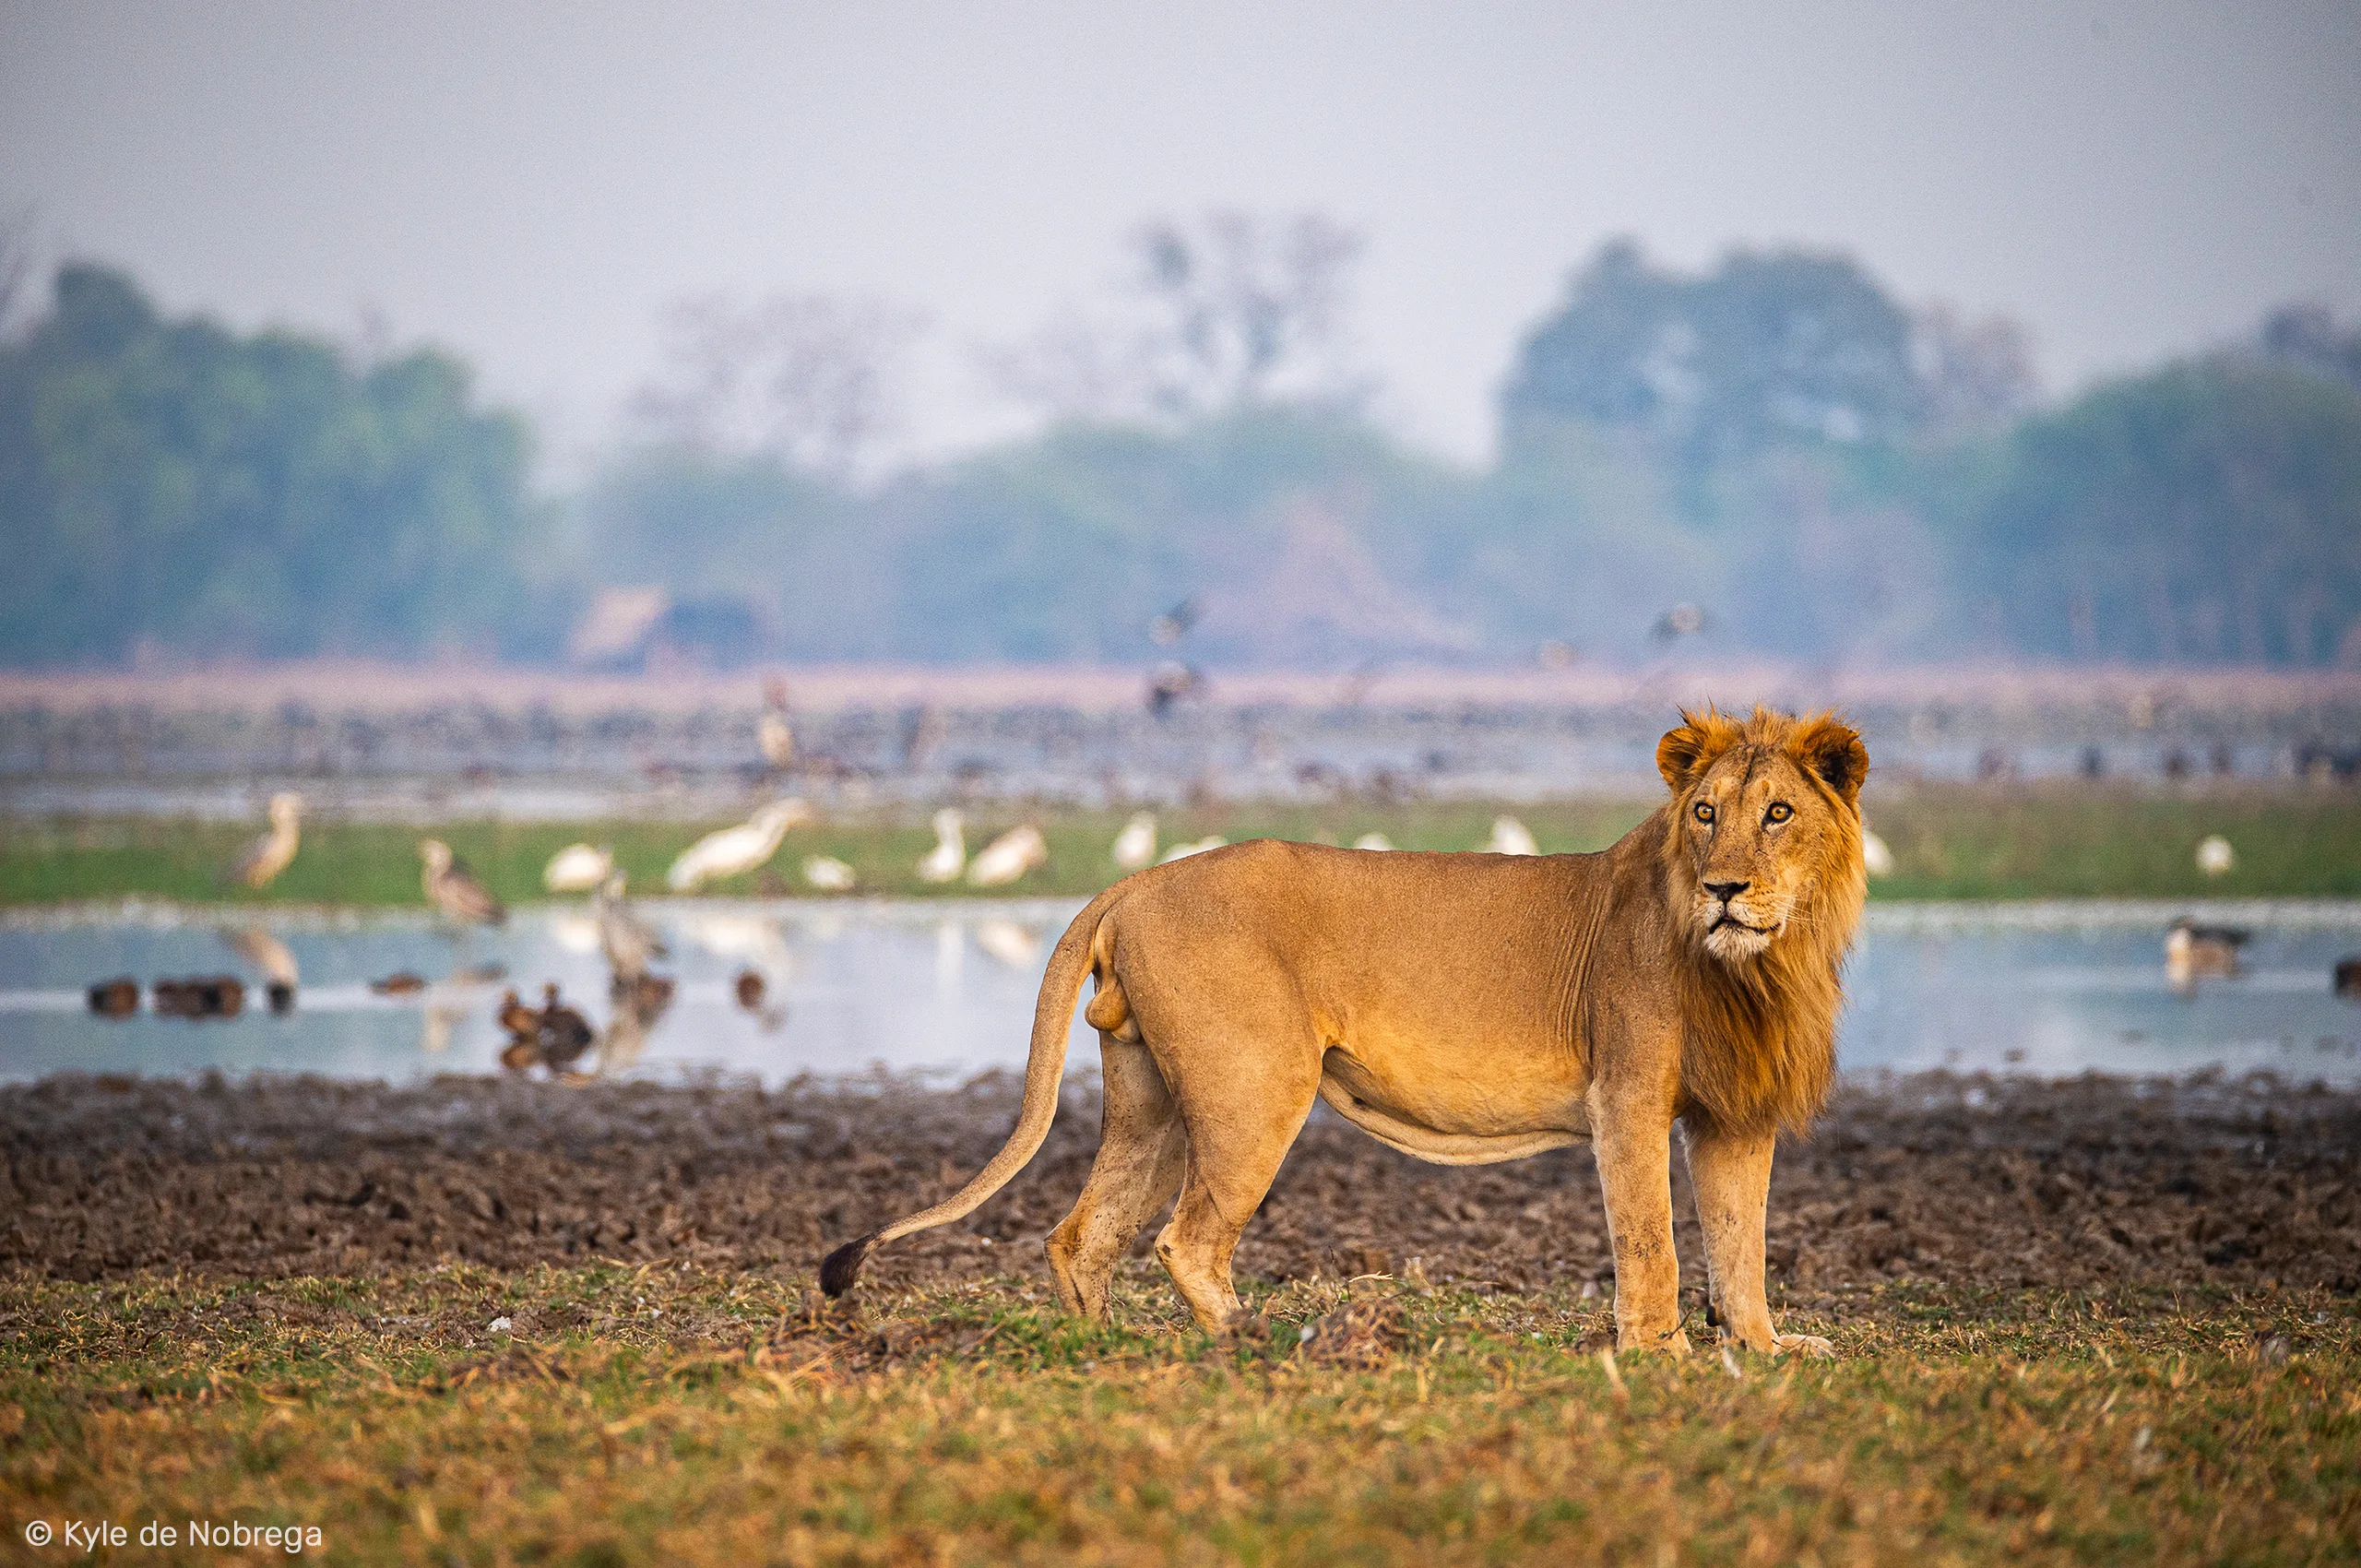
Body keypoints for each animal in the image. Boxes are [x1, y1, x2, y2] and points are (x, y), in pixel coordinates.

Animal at [822, 705, 1868, 1357]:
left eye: (1778, 813)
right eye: (1705, 814)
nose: (1723, 887)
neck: (1758, 968)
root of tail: (1136, 880)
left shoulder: (1735, 1118)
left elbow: (1741, 1241)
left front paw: (1767, 1347)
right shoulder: (1629, 1097)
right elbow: (1651, 1237)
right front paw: (1660, 1352)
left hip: (1151, 1103)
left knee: (1082, 1234)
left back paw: (1098, 1348)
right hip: (1254, 1089)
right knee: (1185, 1241)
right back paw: (1261, 1341)